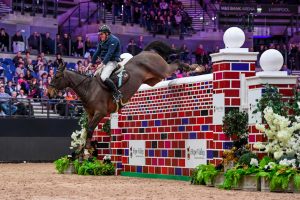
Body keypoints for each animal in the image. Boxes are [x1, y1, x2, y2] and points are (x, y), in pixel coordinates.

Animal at [49, 40, 188, 149]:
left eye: (57, 77)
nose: (49, 92)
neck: (88, 89)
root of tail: (147, 52)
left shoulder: (100, 112)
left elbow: (89, 129)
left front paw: (87, 148)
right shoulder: (91, 114)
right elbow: (88, 129)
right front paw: (84, 148)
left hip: (163, 70)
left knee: (176, 62)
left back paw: (192, 67)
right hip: (154, 79)